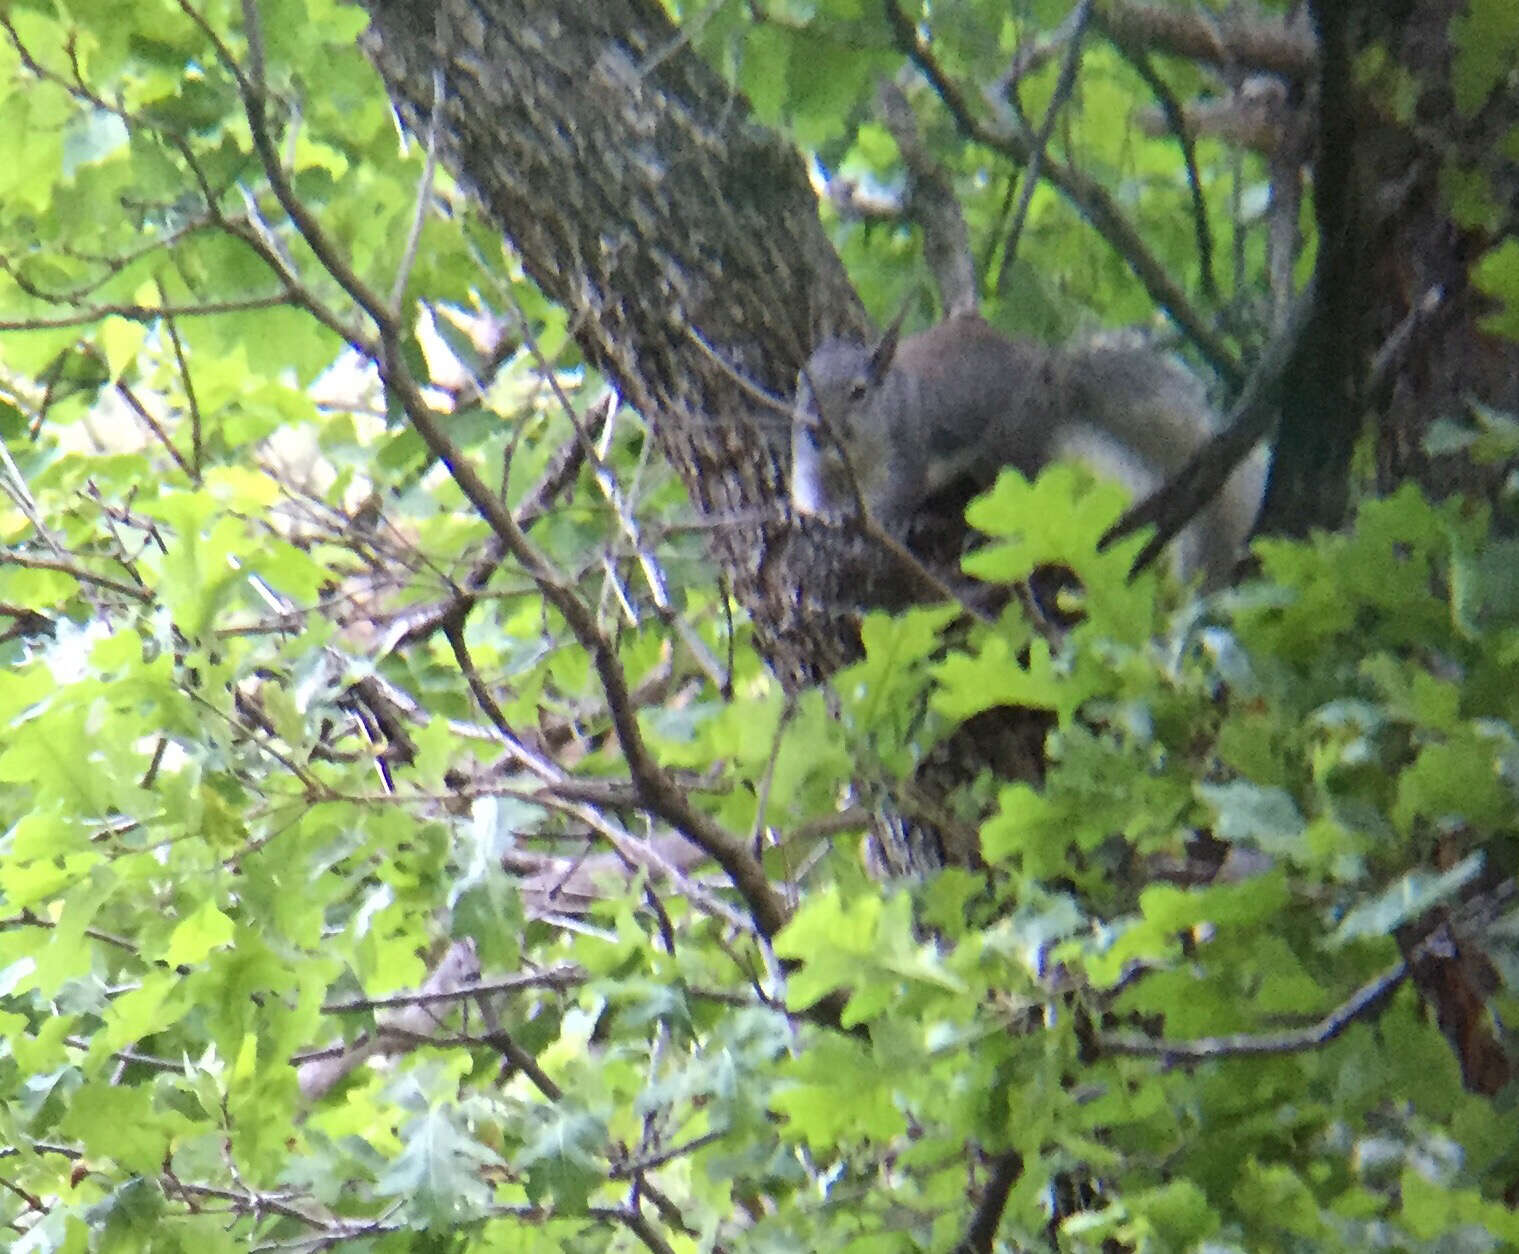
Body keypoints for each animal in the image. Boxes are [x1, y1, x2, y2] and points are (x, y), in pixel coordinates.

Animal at [789, 308, 1263, 582]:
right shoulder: (809, 462)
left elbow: (900, 492)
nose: (816, 430)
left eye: (859, 392)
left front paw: (883, 520)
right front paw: (824, 513)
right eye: (801, 383)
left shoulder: (909, 445)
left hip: (1008, 447)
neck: (854, 458)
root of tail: (1053, 377)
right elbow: (806, 491)